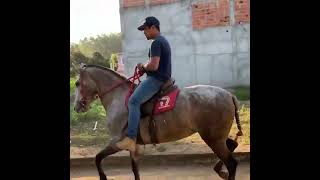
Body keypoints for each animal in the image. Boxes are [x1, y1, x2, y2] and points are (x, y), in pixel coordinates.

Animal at [72, 64, 242, 179]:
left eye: (77, 83)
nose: (77, 107)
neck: (118, 97)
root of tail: (229, 95)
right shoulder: (134, 147)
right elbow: (135, 170)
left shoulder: (117, 141)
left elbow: (97, 158)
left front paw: (103, 177)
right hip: (216, 136)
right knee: (232, 145)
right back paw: (220, 170)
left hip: (212, 138)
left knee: (232, 163)